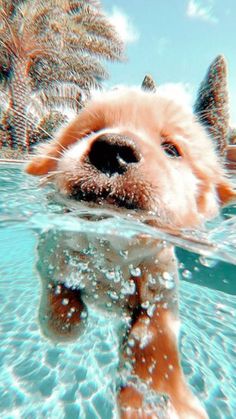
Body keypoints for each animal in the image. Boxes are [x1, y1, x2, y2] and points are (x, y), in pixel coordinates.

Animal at [24, 80, 235, 418]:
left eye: (171, 149)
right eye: (90, 131)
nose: (113, 148)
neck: (112, 248)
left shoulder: (161, 287)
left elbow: (154, 340)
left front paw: (162, 400)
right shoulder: (51, 249)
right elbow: (59, 291)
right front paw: (64, 319)